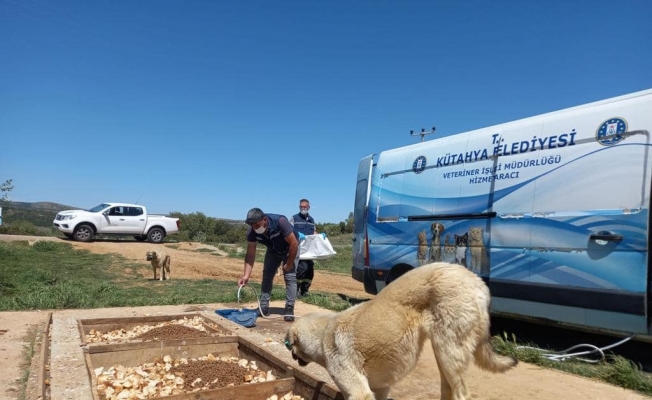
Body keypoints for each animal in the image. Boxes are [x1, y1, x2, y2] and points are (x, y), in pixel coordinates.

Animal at [284, 262, 516, 400]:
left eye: (290, 347)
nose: (292, 354)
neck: (324, 335)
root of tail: (477, 281)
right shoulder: (379, 390)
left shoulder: (360, 392)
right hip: (443, 354)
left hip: (449, 351)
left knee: (461, 393)